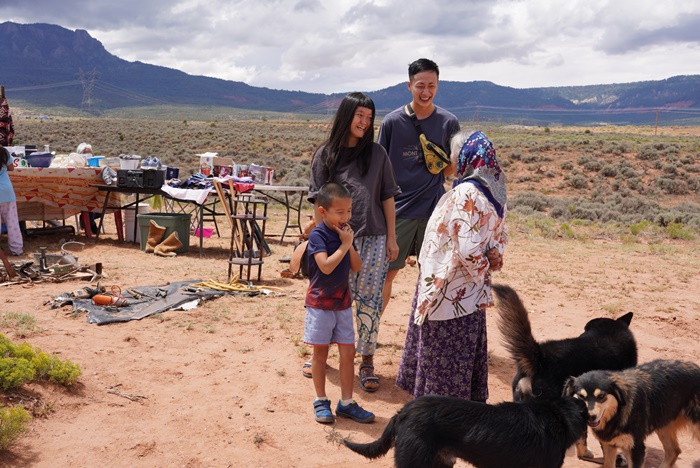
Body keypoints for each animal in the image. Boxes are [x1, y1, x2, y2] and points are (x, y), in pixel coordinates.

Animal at [564, 360, 700, 468]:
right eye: (581, 396)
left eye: (601, 396)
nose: (590, 416)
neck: (617, 413)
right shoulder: (609, 444)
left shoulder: (636, 448)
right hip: (663, 423)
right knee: (674, 451)